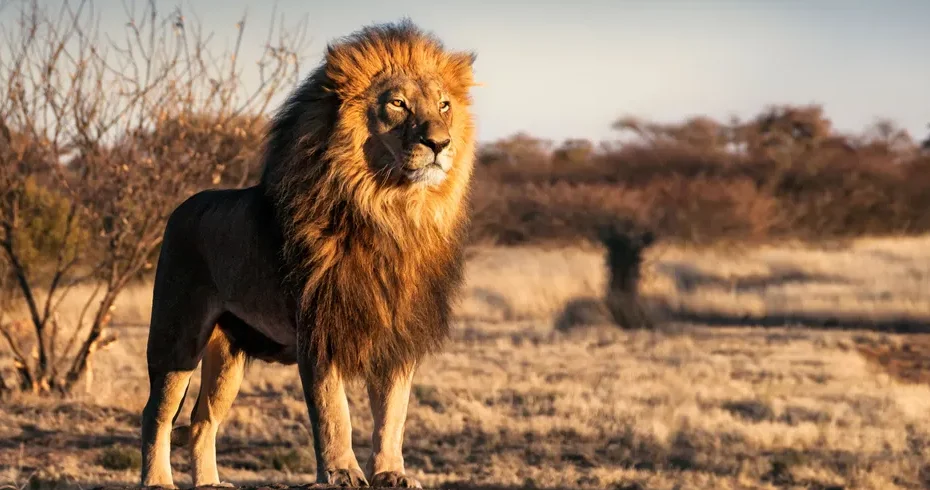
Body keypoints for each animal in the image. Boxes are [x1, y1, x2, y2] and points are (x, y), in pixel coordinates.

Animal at [139, 20, 478, 489]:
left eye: (445, 105)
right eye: (397, 103)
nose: (440, 143)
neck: (390, 212)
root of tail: (182, 206)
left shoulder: (397, 334)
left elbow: (393, 413)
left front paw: (391, 472)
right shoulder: (319, 328)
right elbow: (334, 412)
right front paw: (342, 472)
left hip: (228, 355)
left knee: (202, 420)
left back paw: (209, 482)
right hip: (177, 337)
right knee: (156, 413)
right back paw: (157, 480)